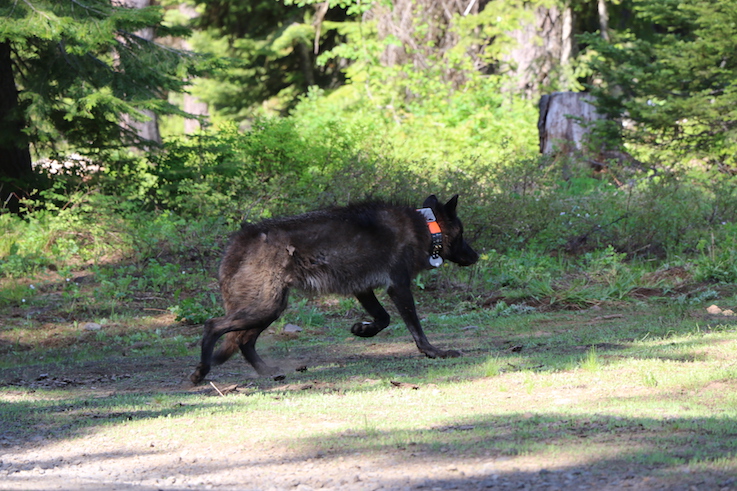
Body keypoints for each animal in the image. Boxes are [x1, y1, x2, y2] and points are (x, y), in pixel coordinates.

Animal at [190, 193, 478, 384]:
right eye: (463, 234)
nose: (476, 256)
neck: (426, 227)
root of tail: (240, 239)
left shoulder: (363, 289)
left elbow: (383, 319)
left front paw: (362, 330)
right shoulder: (398, 287)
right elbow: (416, 330)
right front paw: (434, 352)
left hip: (270, 309)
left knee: (244, 341)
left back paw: (267, 372)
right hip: (265, 308)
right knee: (213, 326)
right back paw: (202, 371)